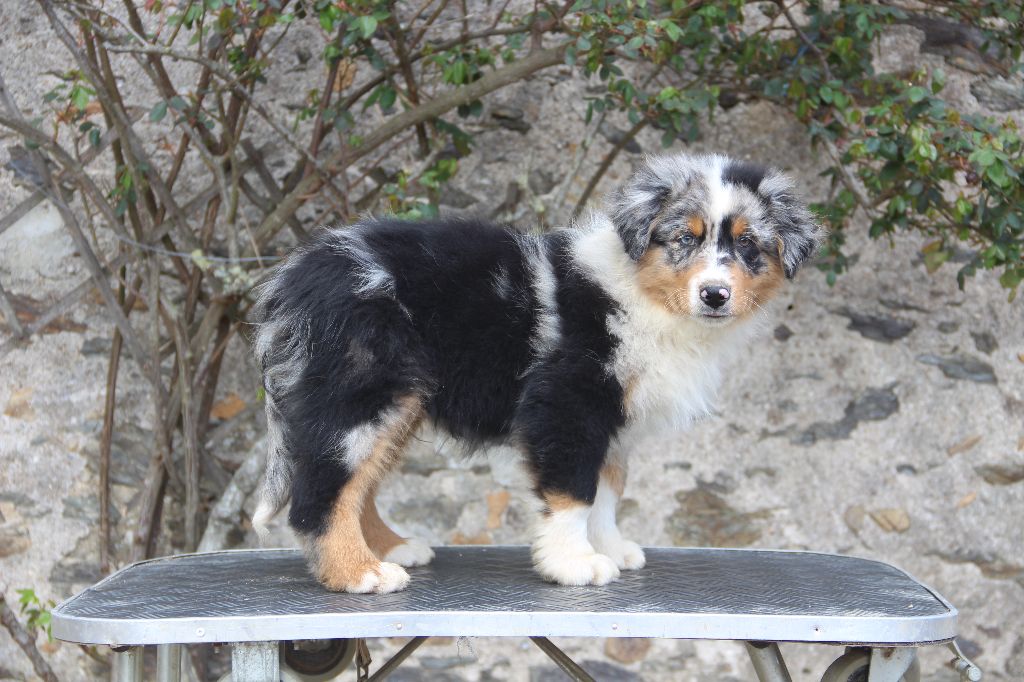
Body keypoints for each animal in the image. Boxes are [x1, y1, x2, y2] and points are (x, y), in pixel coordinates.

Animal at [250, 153, 824, 593]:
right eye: (685, 238)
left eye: (748, 246)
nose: (714, 295)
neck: (643, 294)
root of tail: (297, 275)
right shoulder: (570, 401)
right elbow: (574, 492)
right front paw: (575, 564)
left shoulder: (613, 419)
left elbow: (608, 491)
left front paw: (611, 547)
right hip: (362, 393)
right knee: (320, 490)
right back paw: (359, 573)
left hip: (399, 404)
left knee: (359, 483)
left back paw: (392, 548)